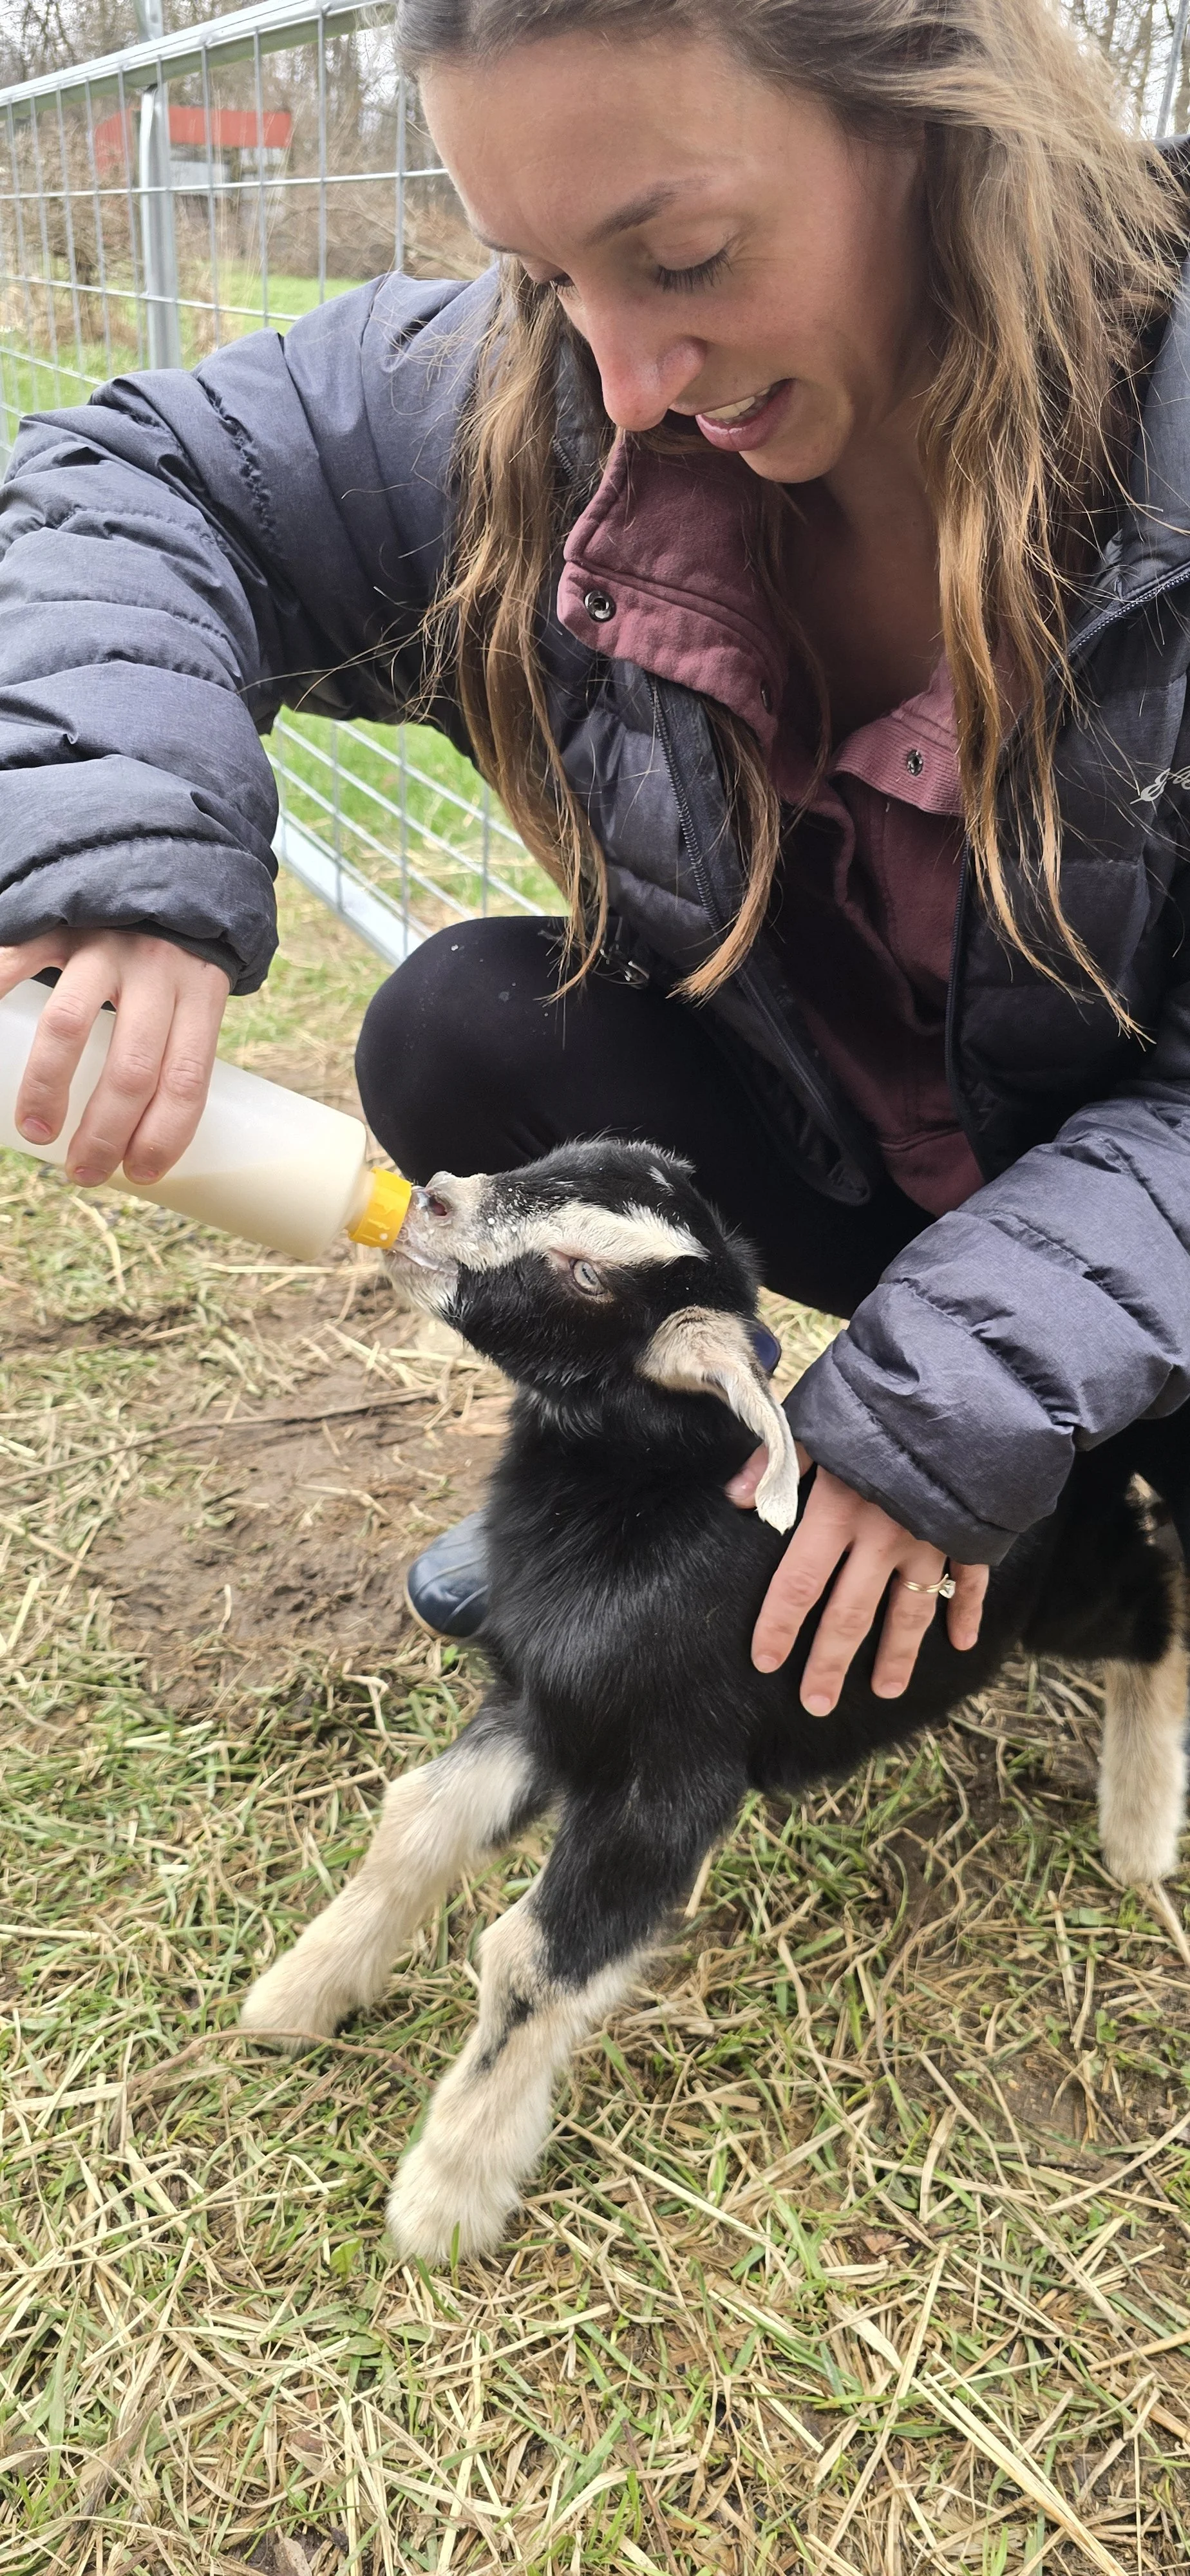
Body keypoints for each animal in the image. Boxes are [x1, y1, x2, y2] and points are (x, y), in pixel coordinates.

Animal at [242, 1140, 1188, 2259]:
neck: (643, 1510)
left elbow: (528, 1961)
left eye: (587, 1276)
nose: (428, 1200)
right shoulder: (543, 1708)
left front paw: (445, 2201)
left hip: (1059, 1597)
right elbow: (415, 1826)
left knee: (1157, 1607)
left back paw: (1139, 1832)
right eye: (558, 1160)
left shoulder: (666, 1778)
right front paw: (296, 1998)